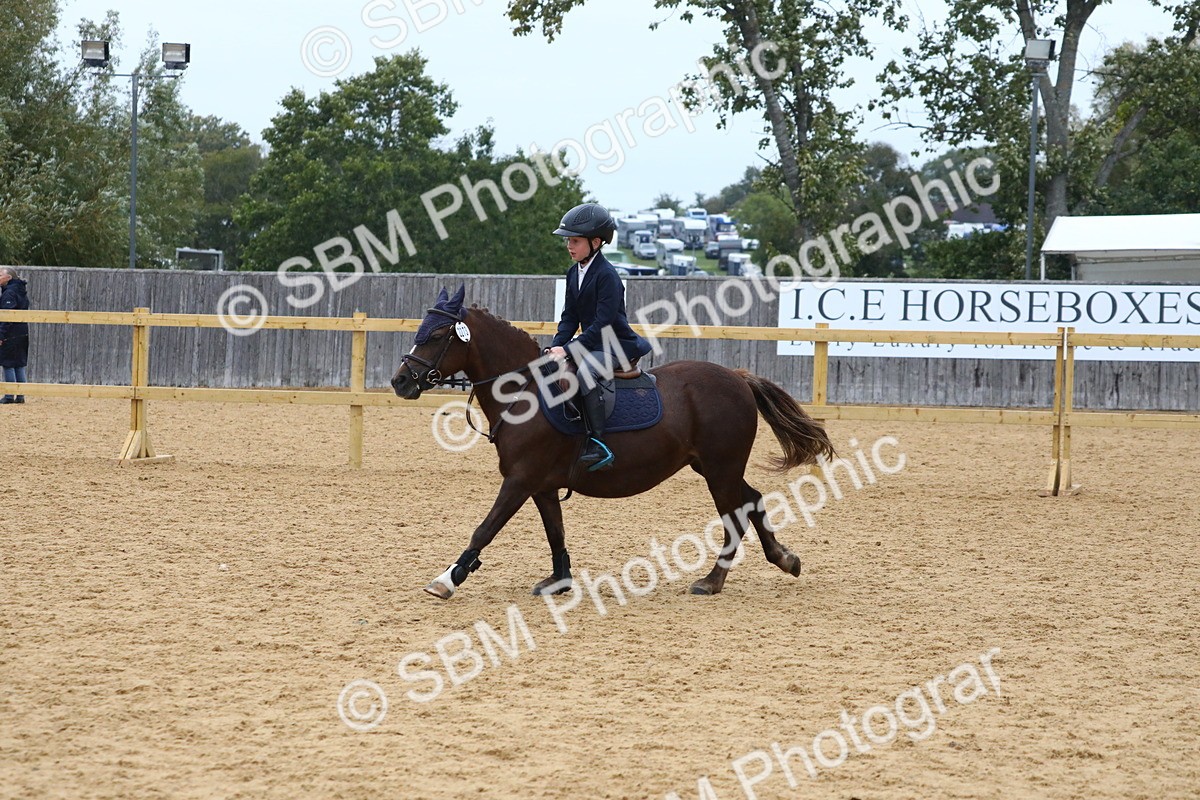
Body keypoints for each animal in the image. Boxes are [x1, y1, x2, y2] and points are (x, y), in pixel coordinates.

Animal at [391, 286, 835, 600]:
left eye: (437, 334)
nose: (400, 382)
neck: (526, 392)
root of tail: (738, 378)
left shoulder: (519, 480)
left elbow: (484, 529)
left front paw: (447, 578)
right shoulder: (541, 485)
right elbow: (555, 531)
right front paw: (560, 580)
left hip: (720, 468)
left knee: (736, 516)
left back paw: (712, 581)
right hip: (712, 466)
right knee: (753, 501)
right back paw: (784, 559)